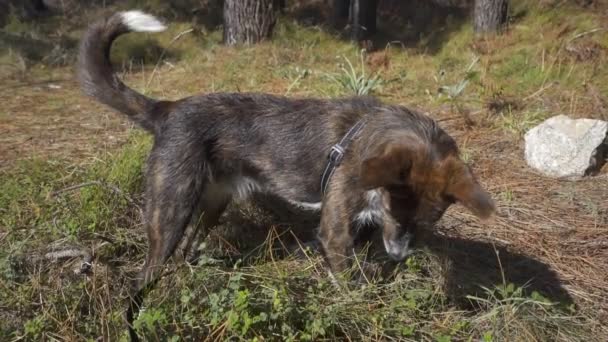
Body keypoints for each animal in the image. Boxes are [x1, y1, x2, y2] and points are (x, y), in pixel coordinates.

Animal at [77, 10, 494, 340]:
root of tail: (168, 108)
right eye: (395, 212)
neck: (368, 137)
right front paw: (365, 312)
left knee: (188, 250)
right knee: (141, 280)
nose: (398, 255)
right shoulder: (336, 233)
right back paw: (137, 322)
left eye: (424, 225)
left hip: (212, 204)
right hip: (171, 211)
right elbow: (350, 286)